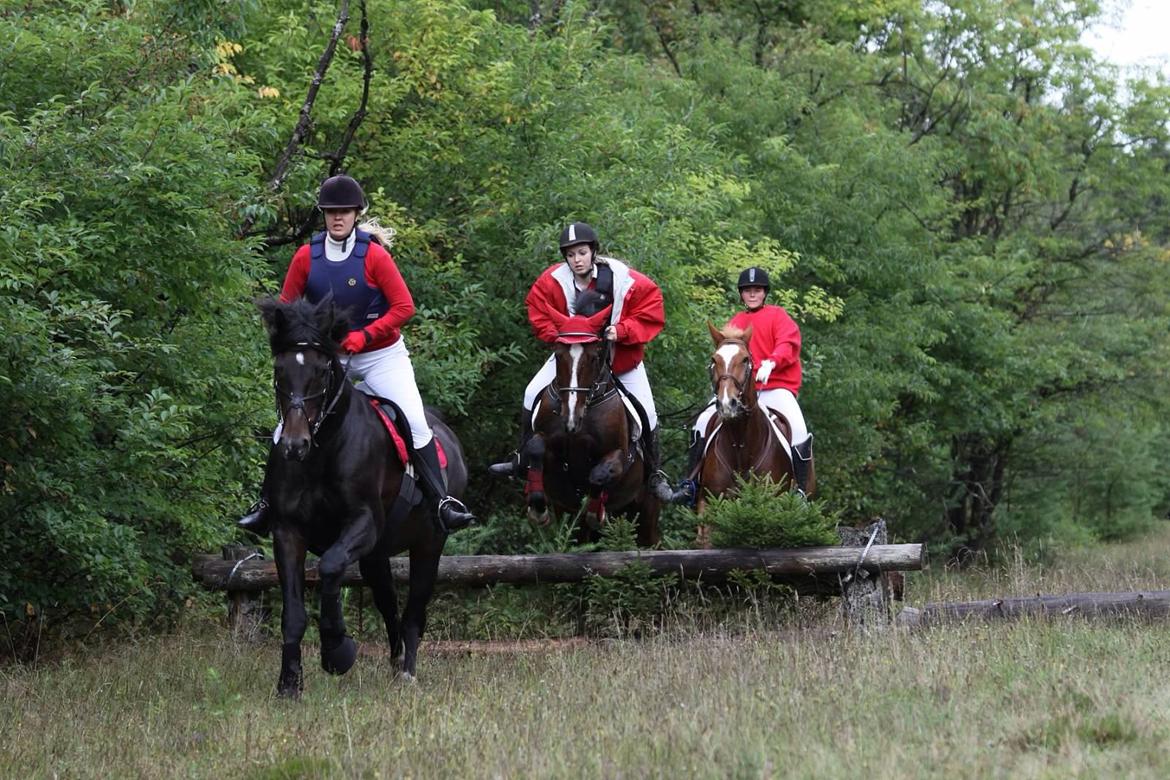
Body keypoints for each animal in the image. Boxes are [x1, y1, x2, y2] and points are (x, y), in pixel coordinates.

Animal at [260, 297, 470, 696]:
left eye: (322, 371)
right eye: (280, 370)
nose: (294, 445)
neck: (322, 452)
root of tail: (448, 436)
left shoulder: (364, 523)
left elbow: (329, 567)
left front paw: (336, 650)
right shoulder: (288, 531)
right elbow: (293, 613)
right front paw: (289, 684)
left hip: (429, 544)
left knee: (414, 610)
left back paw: (407, 672)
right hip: (376, 555)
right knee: (388, 604)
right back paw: (394, 663)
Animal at [521, 290, 659, 547]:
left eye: (594, 357)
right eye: (558, 355)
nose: (571, 420)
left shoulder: (619, 455)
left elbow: (599, 474)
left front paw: (596, 511)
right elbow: (536, 448)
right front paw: (537, 507)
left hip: (646, 514)